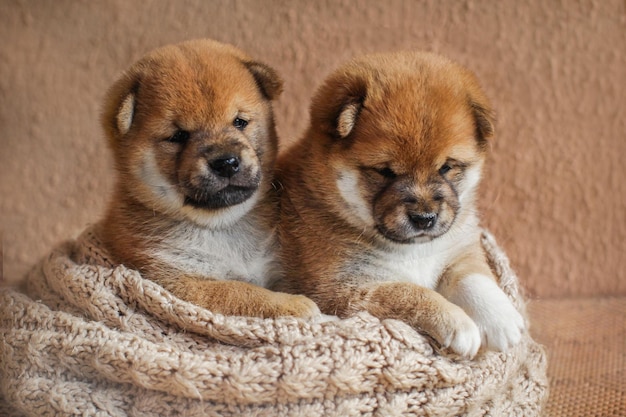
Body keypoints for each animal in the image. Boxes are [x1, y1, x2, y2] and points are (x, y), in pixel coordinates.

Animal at [100, 39, 322, 318]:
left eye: (239, 122)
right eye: (178, 136)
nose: (226, 163)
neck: (222, 226)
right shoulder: (174, 281)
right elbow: (240, 292)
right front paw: (292, 303)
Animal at [276, 52, 524, 356]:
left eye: (446, 167)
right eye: (385, 171)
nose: (424, 218)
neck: (413, 250)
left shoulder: (456, 251)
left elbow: (474, 277)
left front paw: (500, 317)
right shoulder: (341, 288)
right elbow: (409, 292)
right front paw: (457, 323)